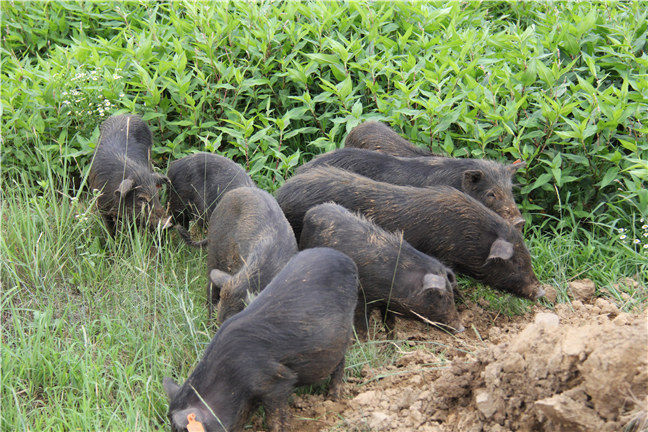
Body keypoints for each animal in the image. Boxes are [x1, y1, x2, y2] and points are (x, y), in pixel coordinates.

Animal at [160, 246, 356, 432]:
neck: (231, 380)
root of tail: (348, 260)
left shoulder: (277, 380)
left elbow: (275, 415)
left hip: (341, 335)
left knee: (340, 364)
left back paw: (333, 398)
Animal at [302, 202, 464, 334]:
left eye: (451, 294)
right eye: (439, 296)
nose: (461, 328)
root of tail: (313, 210)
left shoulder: (386, 304)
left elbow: (390, 324)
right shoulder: (363, 297)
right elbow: (362, 325)